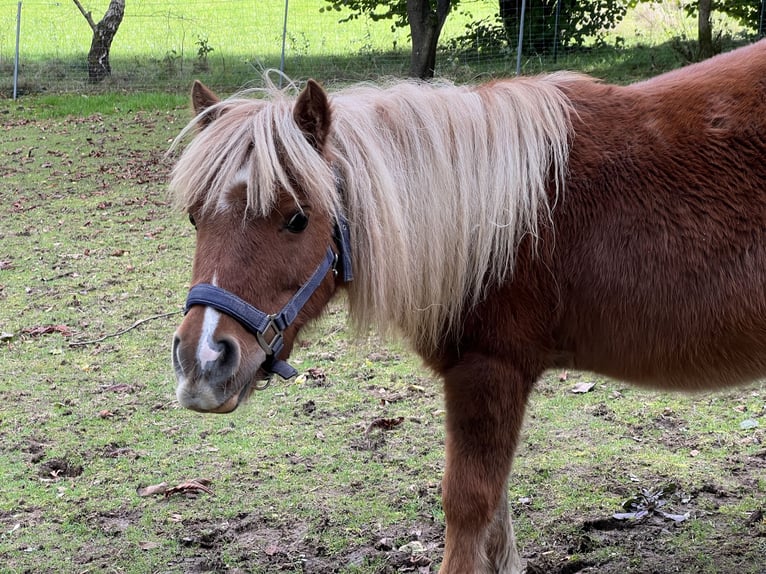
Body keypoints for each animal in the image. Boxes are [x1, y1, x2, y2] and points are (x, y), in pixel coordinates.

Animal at [171, 38, 766, 572]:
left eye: (296, 218)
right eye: (196, 217)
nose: (202, 362)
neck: (500, 223)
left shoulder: (488, 372)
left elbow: (469, 501)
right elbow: (495, 513)